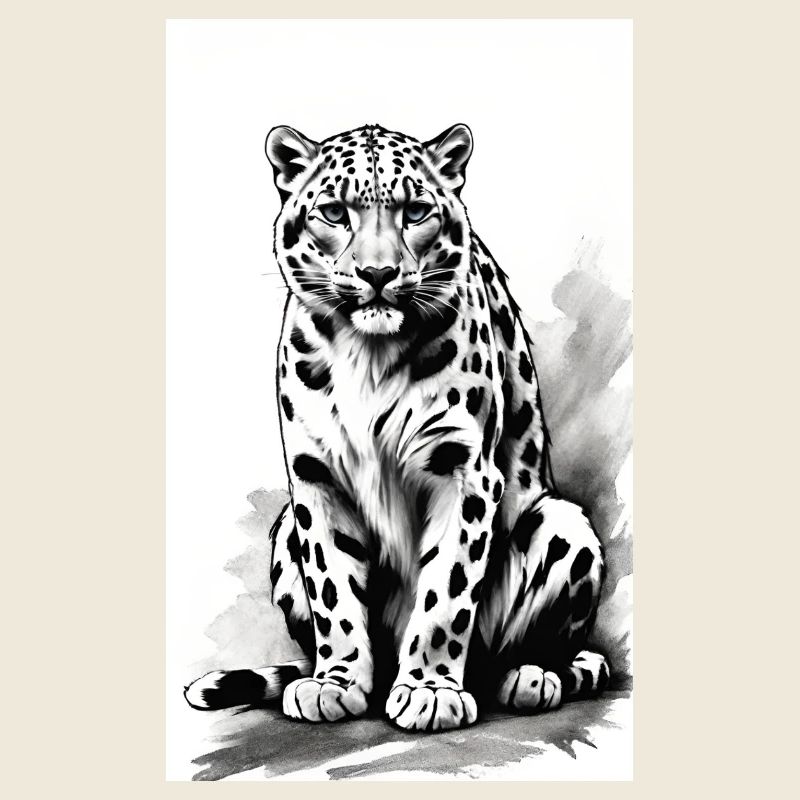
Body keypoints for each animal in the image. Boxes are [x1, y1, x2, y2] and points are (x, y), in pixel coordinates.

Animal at [184, 123, 610, 731]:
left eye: (415, 211)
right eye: (334, 212)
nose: (378, 274)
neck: (369, 356)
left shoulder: (464, 470)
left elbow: (446, 591)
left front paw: (430, 690)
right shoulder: (316, 478)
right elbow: (333, 587)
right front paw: (336, 683)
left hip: (562, 523)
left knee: (538, 646)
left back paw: (529, 676)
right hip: (286, 526)